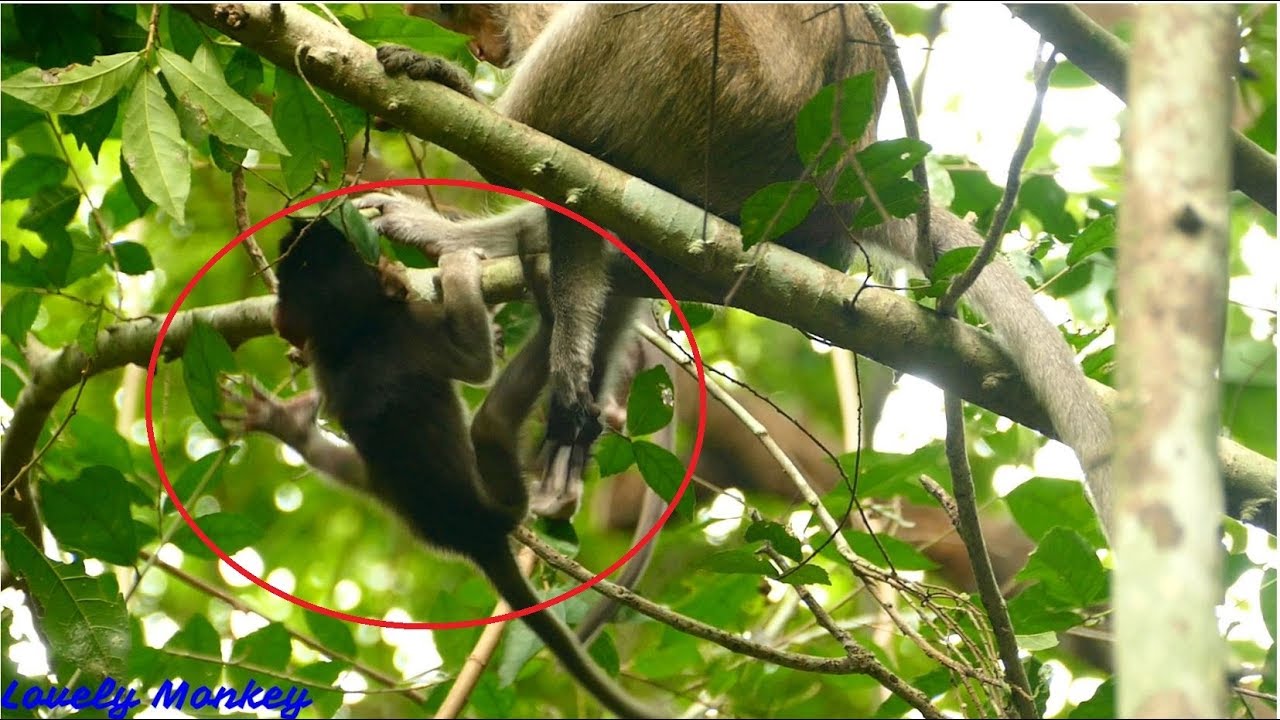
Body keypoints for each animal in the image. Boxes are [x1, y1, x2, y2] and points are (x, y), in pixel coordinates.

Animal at [241, 216, 660, 719]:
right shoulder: (418, 331)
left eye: (306, 254)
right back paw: (544, 308)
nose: (304, 224)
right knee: (489, 424)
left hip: (396, 498)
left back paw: (289, 427)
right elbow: (476, 365)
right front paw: (457, 265)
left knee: (352, 467)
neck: (354, 328)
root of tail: (475, 535)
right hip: (506, 498)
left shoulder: (331, 361)